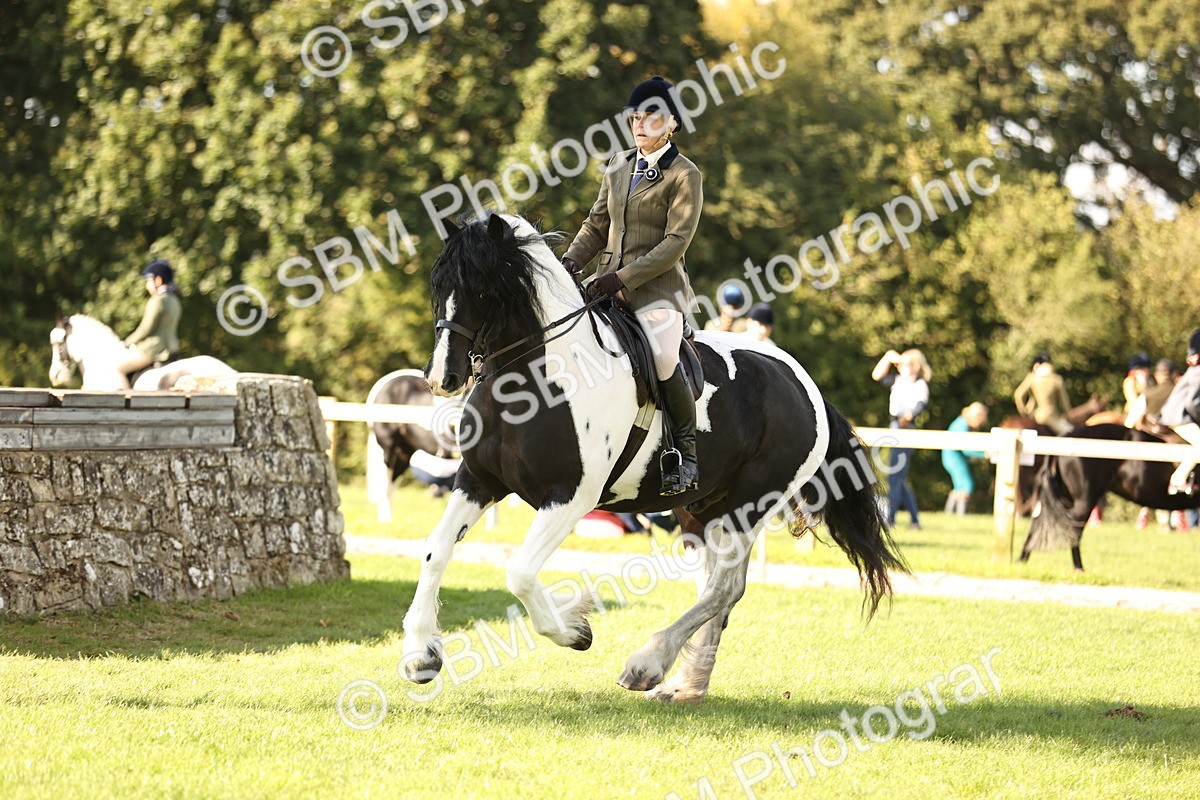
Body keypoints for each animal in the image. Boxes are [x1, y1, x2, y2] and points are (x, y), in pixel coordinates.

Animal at [401, 213, 907, 702]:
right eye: (438, 286)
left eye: (482, 290)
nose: (442, 378)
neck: (534, 380)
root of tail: (804, 383)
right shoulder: (477, 480)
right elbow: (435, 549)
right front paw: (421, 655)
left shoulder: (570, 497)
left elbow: (521, 572)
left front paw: (575, 628)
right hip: (700, 509)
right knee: (719, 588)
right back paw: (685, 685)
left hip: (749, 505)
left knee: (724, 587)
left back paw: (647, 664)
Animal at [1018, 423, 1200, 571]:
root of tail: (1065, 438)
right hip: (1084, 501)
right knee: (1073, 532)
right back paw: (1079, 569)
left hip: (1065, 499)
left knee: (1037, 525)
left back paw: (1021, 562)